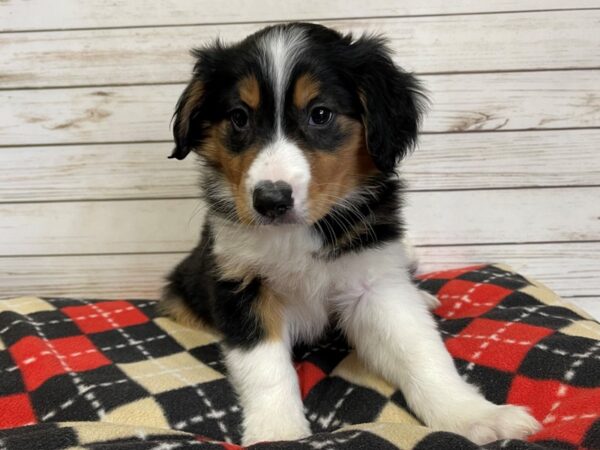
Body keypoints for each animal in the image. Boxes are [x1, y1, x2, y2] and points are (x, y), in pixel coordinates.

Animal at [162, 22, 540, 446]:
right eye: (239, 117)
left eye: (320, 114)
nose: (270, 200)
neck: (300, 233)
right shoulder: (239, 283)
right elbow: (265, 367)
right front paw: (277, 431)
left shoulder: (374, 282)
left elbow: (420, 350)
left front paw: (472, 414)